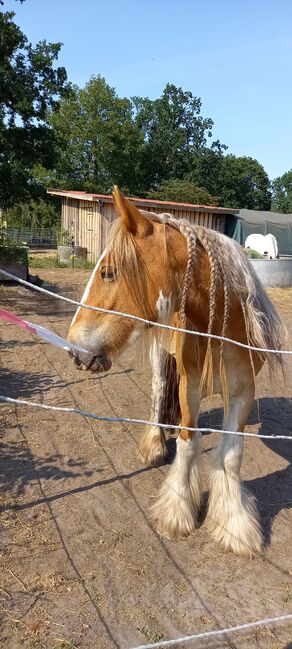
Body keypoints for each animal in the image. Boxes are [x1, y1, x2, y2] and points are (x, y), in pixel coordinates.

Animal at [66, 186, 286, 556]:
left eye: (108, 272)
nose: (75, 350)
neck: (220, 330)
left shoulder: (243, 393)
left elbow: (231, 455)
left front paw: (235, 526)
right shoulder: (189, 387)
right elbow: (188, 442)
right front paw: (177, 513)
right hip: (159, 356)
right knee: (158, 392)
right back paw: (154, 445)